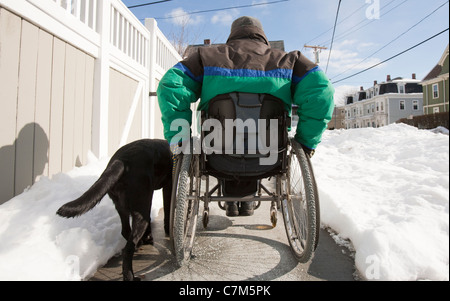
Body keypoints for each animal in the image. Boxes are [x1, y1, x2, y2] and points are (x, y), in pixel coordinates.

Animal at [57, 139, 172, 280]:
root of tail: (122, 160)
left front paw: (148, 237)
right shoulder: (168, 186)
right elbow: (167, 211)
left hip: (123, 207)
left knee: (125, 231)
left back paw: (140, 243)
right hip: (141, 207)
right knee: (128, 249)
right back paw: (131, 276)